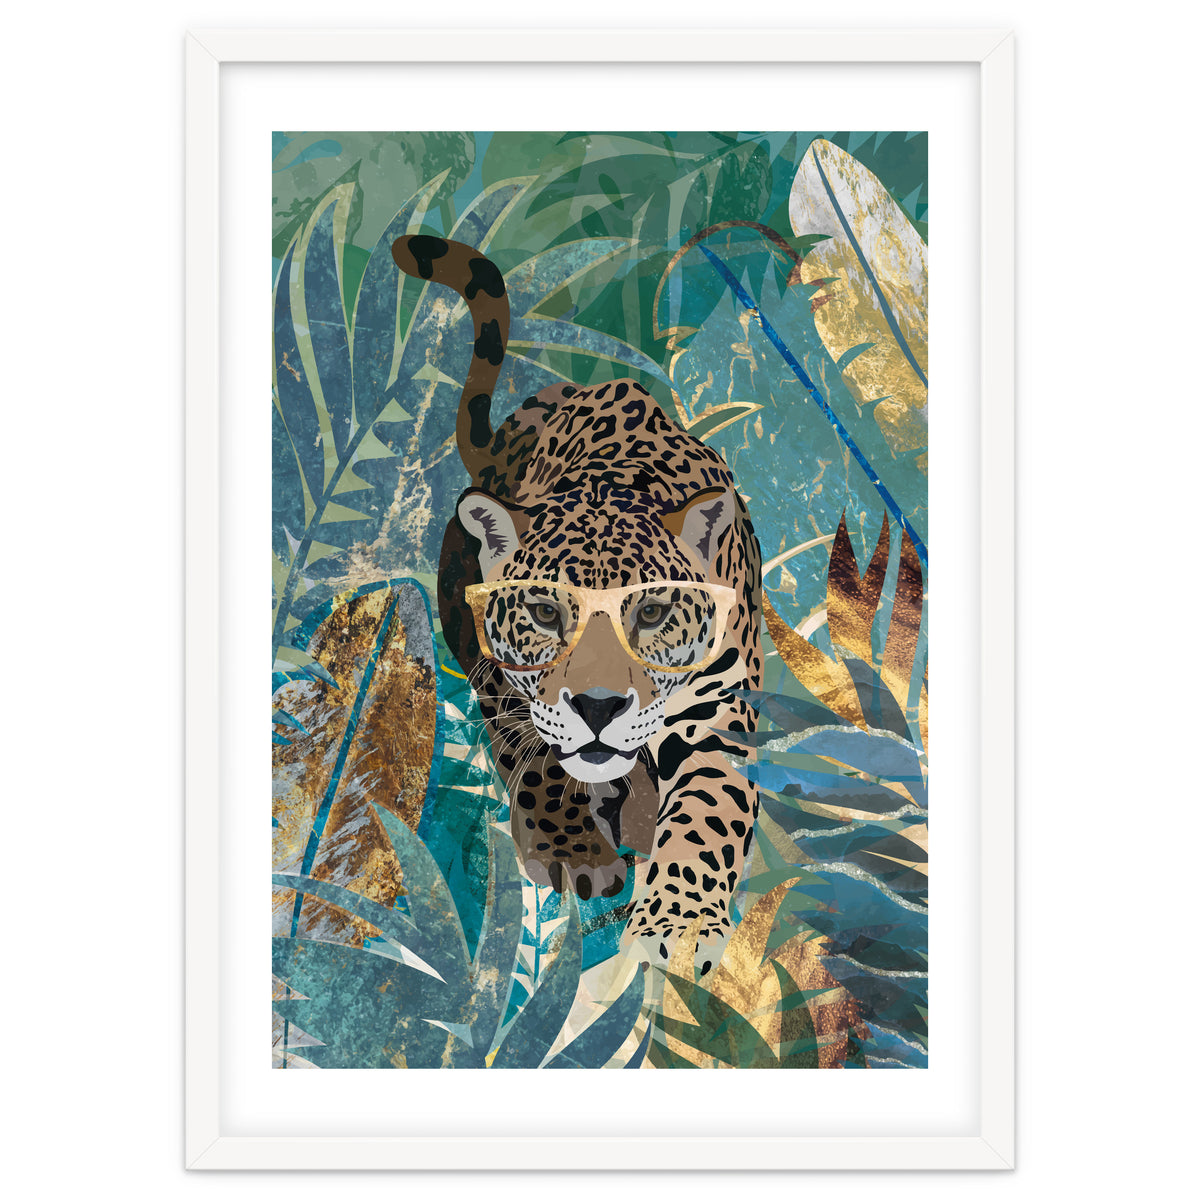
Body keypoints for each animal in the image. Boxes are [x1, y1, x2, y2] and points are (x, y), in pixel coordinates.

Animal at [392, 234, 763, 973]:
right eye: (544, 613)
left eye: (650, 613)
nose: (597, 707)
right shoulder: (500, 675)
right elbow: (534, 757)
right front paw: (572, 851)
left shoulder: (717, 713)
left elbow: (707, 811)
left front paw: (677, 924)